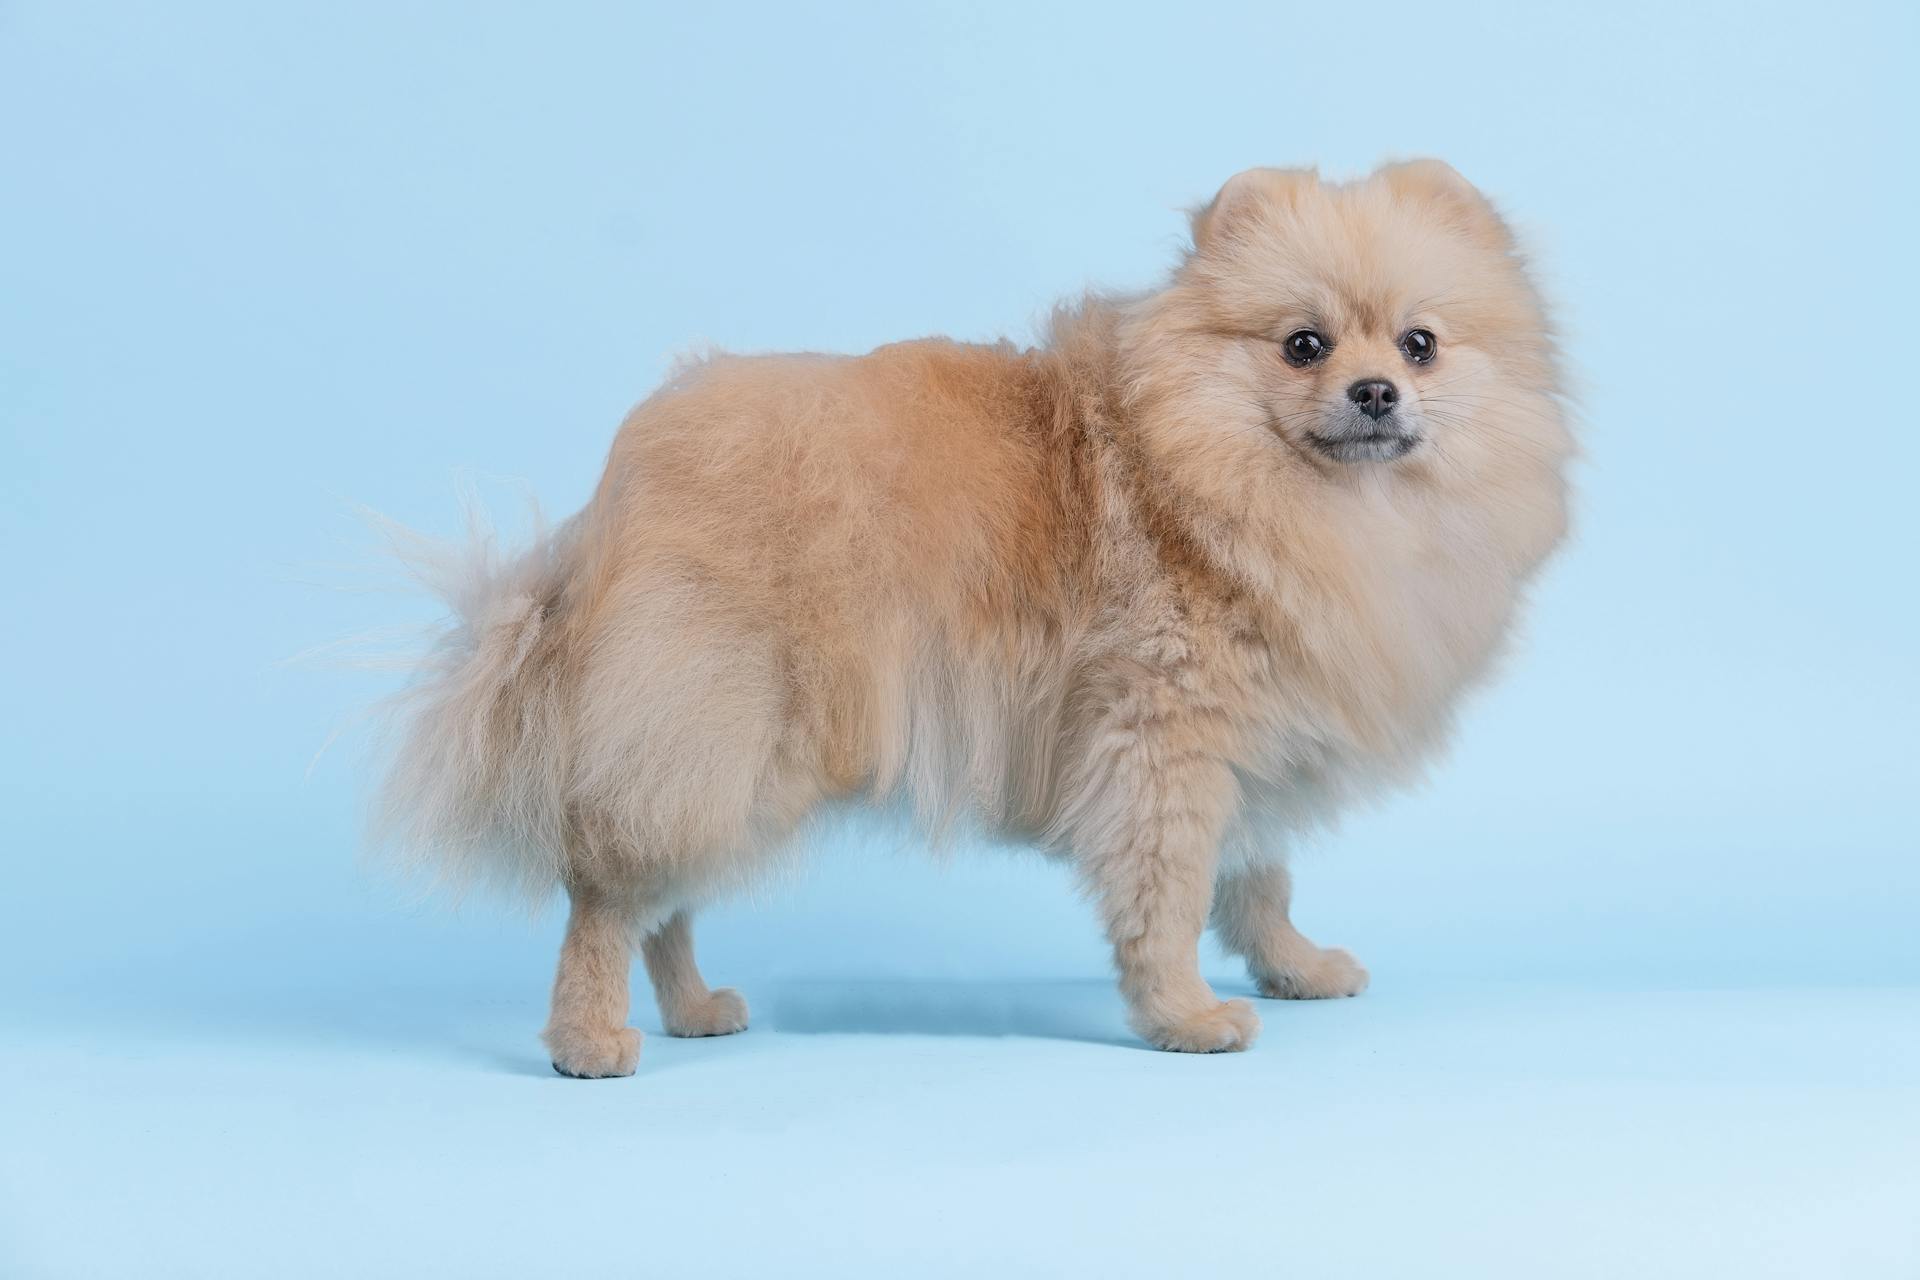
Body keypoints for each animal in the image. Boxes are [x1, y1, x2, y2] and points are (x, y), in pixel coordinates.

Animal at [378, 163, 1574, 1082]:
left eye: (1420, 345)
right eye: (1303, 345)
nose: (1375, 391)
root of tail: (616, 492)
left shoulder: (1252, 736)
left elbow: (1257, 875)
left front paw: (1292, 966)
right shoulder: (1164, 745)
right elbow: (1171, 889)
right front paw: (1186, 1016)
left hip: (720, 747)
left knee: (664, 899)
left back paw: (692, 1005)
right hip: (725, 727)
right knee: (607, 895)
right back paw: (588, 1038)